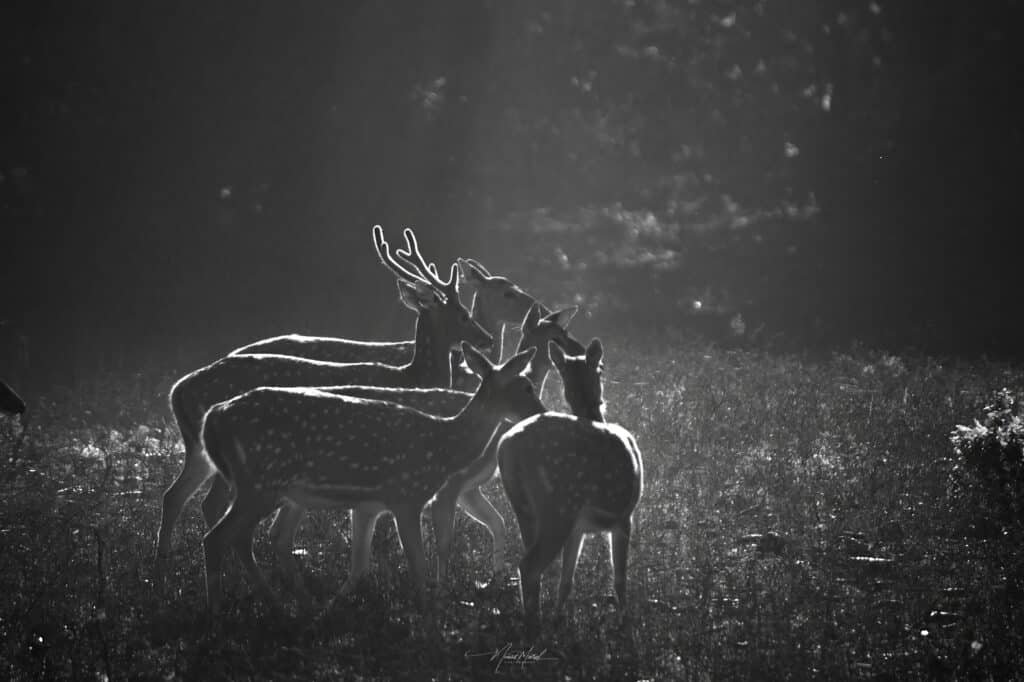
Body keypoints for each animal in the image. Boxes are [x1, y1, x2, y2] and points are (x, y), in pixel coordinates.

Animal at [156, 226, 492, 559]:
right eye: (463, 314)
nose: (486, 338)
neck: (413, 376)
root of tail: (177, 391)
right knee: (212, 505)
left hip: (200, 452)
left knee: (175, 495)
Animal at [218, 301, 583, 599]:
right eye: (558, 336)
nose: (543, 410)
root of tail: (216, 414)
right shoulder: (441, 489)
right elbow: (441, 544)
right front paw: (442, 591)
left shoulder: (465, 489)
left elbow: (496, 524)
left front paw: (489, 581)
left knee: (268, 533)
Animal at [498, 338, 644, 632]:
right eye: (601, 366)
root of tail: (508, 448)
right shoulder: (624, 517)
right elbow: (620, 578)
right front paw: (624, 623)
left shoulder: (579, 529)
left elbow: (568, 579)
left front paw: (559, 616)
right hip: (560, 505)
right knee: (528, 566)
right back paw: (534, 626)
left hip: (526, 509)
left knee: (529, 563)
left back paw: (536, 618)